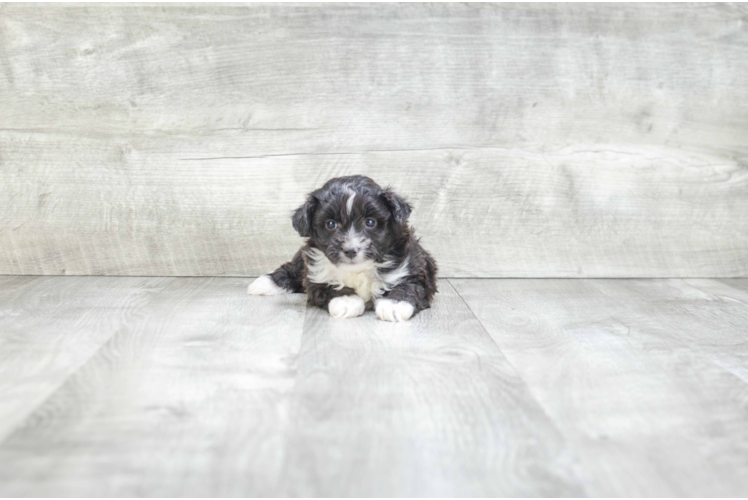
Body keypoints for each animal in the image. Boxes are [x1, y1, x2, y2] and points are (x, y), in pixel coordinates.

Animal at [248, 174, 436, 322]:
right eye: (331, 224)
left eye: (370, 222)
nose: (351, 250)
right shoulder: (315, 272)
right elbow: (327, 286)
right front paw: (347, 299)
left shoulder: (415, 267)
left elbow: (409, 285)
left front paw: (394, 304)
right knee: (293, 268)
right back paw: (266, 282)